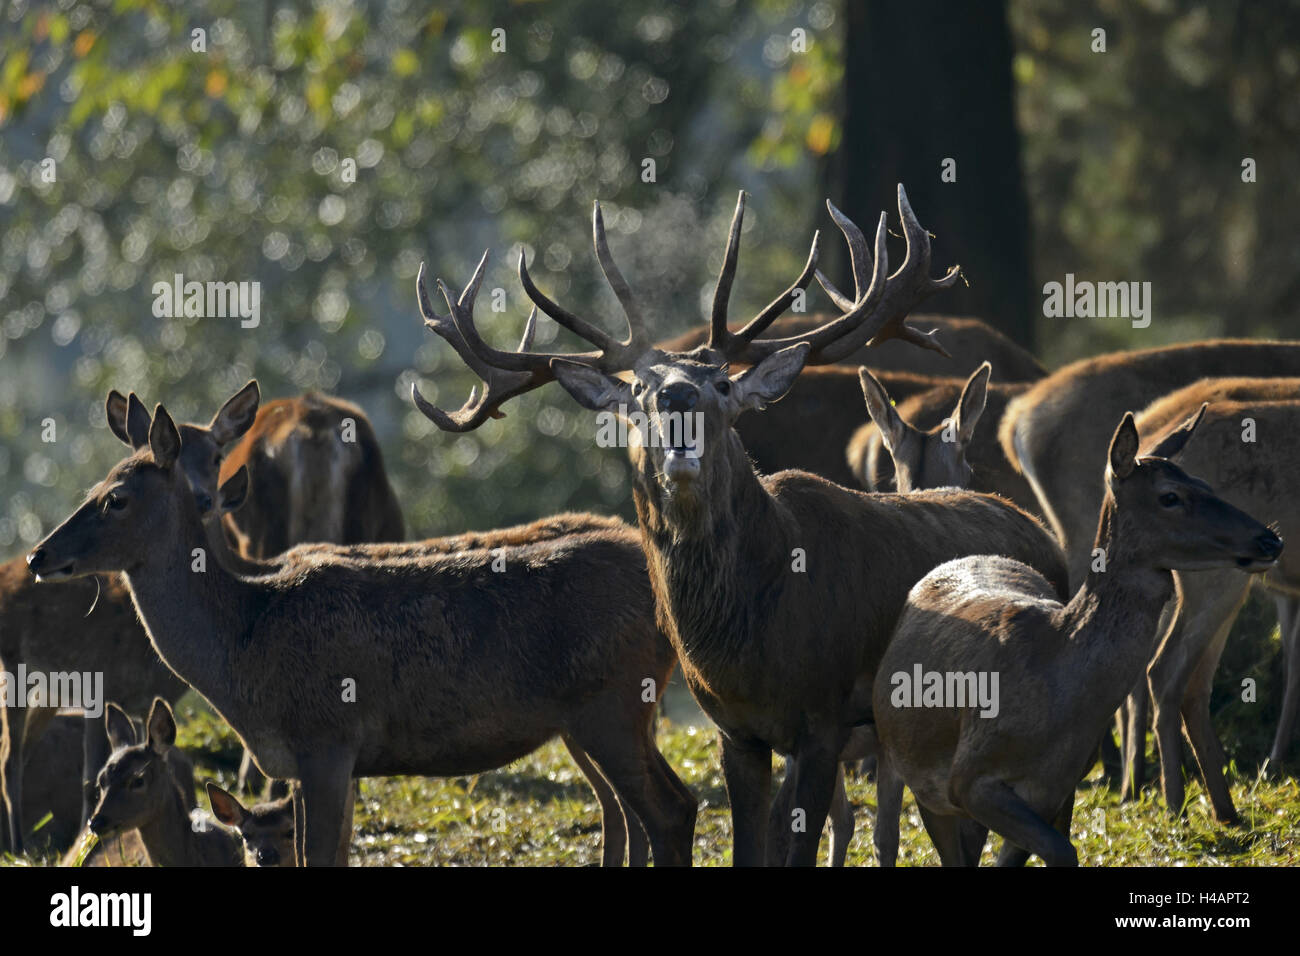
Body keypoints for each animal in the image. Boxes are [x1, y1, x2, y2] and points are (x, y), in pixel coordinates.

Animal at [413, 187, 1066, 868]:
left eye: (722, 383)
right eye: (637, 392)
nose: (676, 398)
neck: (750, 639)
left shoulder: (824, 718)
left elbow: (799, 844)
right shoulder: (734, 729)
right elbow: (752, 845)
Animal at [873, 411, 1279, 868]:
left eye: (1207, 484)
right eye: (1170, 496)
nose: (1270, 538)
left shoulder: (1060, 787)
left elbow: (1053, 848)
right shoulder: (968, 777)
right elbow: (1060, 849)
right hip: (919, 775)